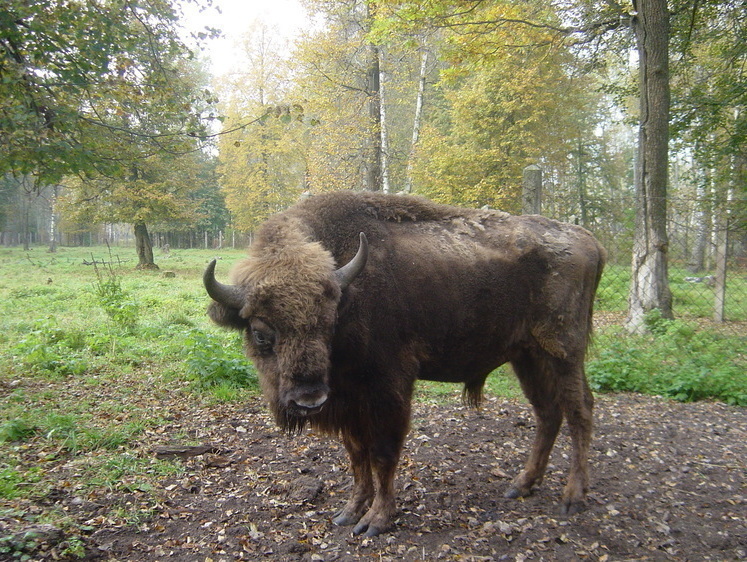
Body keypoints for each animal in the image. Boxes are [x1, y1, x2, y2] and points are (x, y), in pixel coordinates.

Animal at [205, 190, 608, 536]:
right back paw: (521, 485)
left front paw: (376, 520)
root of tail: (590, 240)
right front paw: (349, 511)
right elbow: (357, 455)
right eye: (260, 332)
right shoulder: (348, 400)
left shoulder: (388, 389)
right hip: (528, 356)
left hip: (563, 352)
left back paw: (573, 497)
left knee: (579, 411)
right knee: (548, 413)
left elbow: (382, 453)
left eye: (329, 323)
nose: (308, 399)